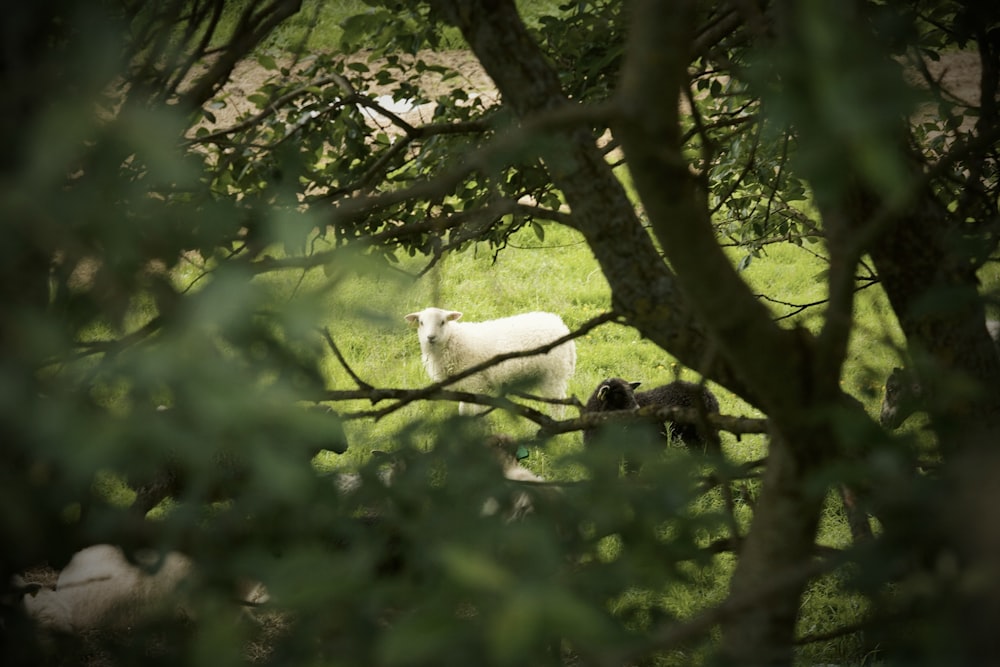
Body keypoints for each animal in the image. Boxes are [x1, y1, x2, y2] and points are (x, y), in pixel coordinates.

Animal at [404, 306, 576, 412]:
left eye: (442, 322)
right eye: (421, 323)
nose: (430, 337)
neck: (453, 340)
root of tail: (562, 326)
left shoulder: (476, 383)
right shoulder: (464, 388)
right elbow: (463, 411)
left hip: (553, 374)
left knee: (558, 405)